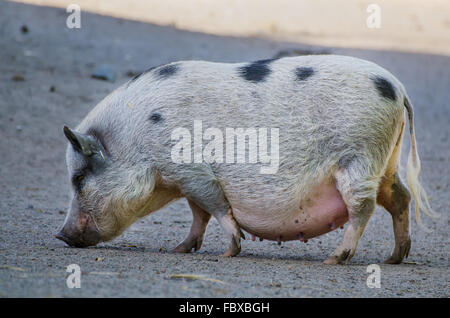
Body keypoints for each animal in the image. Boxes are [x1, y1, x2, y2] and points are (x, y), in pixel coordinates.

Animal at [56, 56, 436, 264]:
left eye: (79, 179)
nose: (60, 235)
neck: (134, 138)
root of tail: (397, 89)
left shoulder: (192, 170)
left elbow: (215, 206)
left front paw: (227, 253)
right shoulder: (185, 181)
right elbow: (198, 214)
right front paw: (179, 251)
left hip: (358, 159)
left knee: (363, 208)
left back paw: (334, 260)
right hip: (386, 163)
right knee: (400, 197)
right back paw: (395, 257)